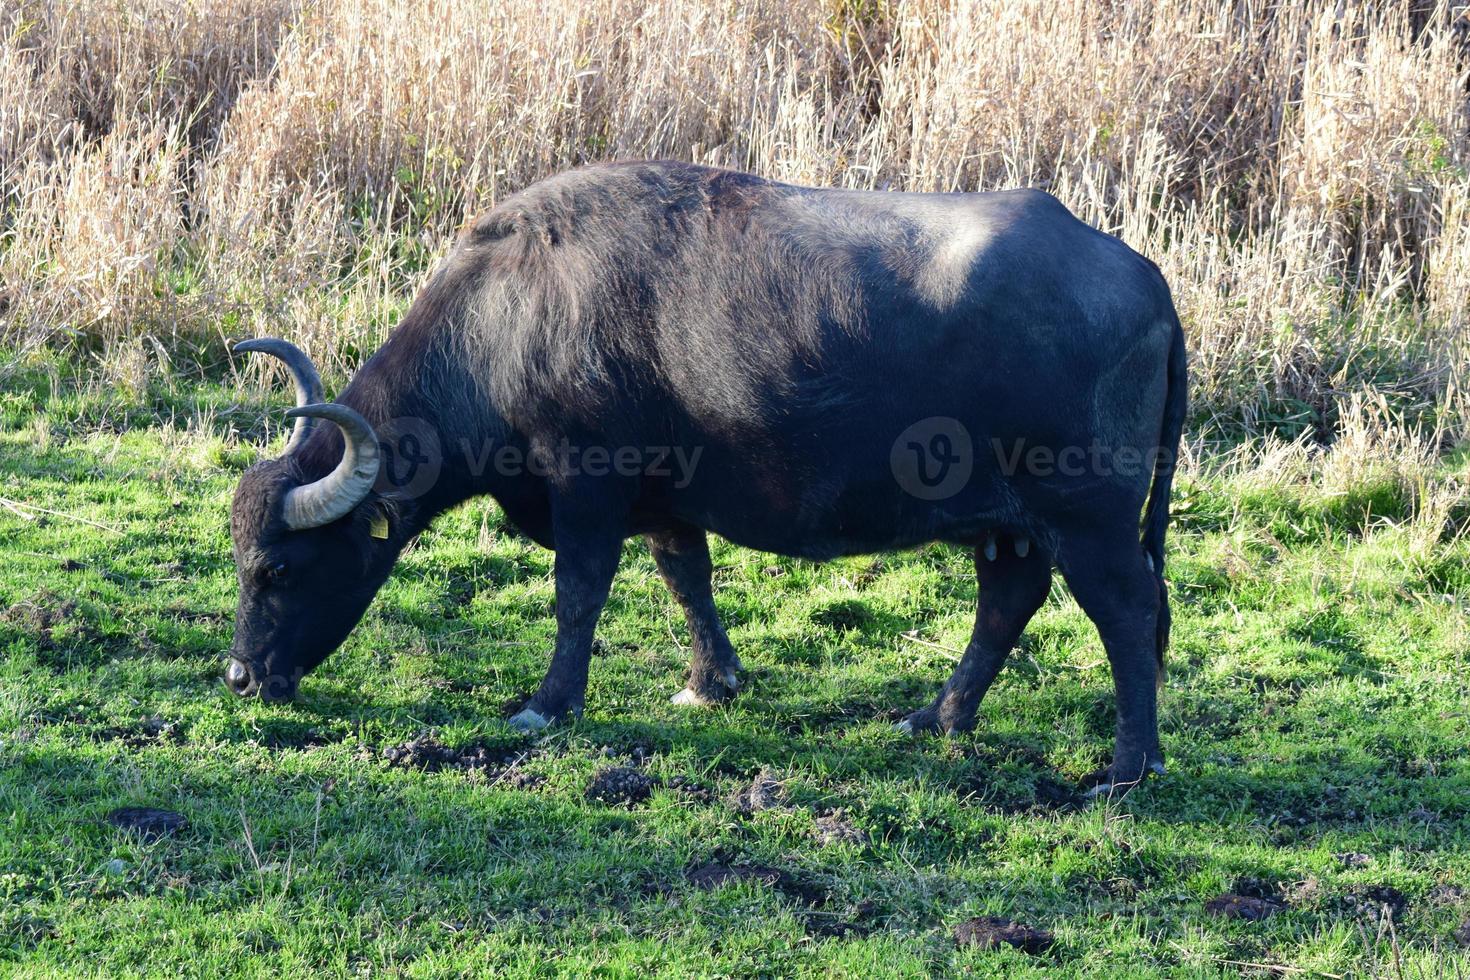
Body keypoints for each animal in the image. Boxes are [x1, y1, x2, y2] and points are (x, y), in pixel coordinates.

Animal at [232, 159, 1193, 787]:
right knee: (1008, 603)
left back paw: (1129, 765)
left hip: (1090, 519)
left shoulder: (588, 484)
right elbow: (686, 576)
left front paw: (549, 703)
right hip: (1011, 524)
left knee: (1127, 612)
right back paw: (936, 717)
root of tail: (1146, 278)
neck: (512, 313)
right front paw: (710, 683)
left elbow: (578, 593)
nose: (242, 677)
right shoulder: (666, 497)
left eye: (277, 567)